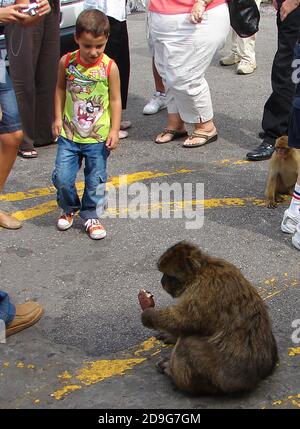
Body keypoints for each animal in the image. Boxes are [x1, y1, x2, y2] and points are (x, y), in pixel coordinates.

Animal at [139, 239, 278, 392]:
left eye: (169, 275)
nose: (162, 282)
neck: (201, 272)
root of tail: (256, 377)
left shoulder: (203, 289)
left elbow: (187, 320)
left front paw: (149, 316)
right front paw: (171, 335)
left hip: (220, 375)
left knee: (188, 344)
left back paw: (173, 374)